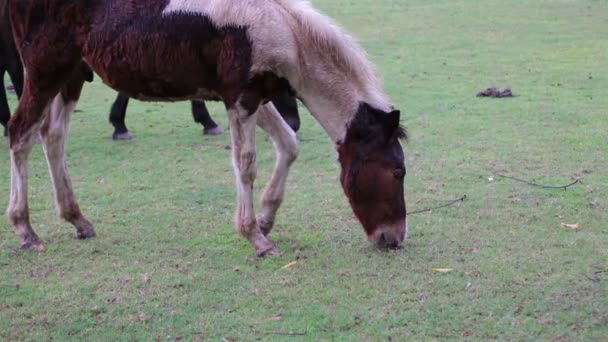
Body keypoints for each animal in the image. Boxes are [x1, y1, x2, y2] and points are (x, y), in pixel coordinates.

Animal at [5, 0, 408, 256]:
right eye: (397, 171)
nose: (394, 238)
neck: (281, 28)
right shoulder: (241, 100)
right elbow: (246, 163)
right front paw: (256, 238)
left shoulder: (250, 97)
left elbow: (289, 144)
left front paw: (266, 219)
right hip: (44, 72)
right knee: (20, 133)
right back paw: (25, 230)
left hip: (71, 75)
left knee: (52, 138)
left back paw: (78, 220)